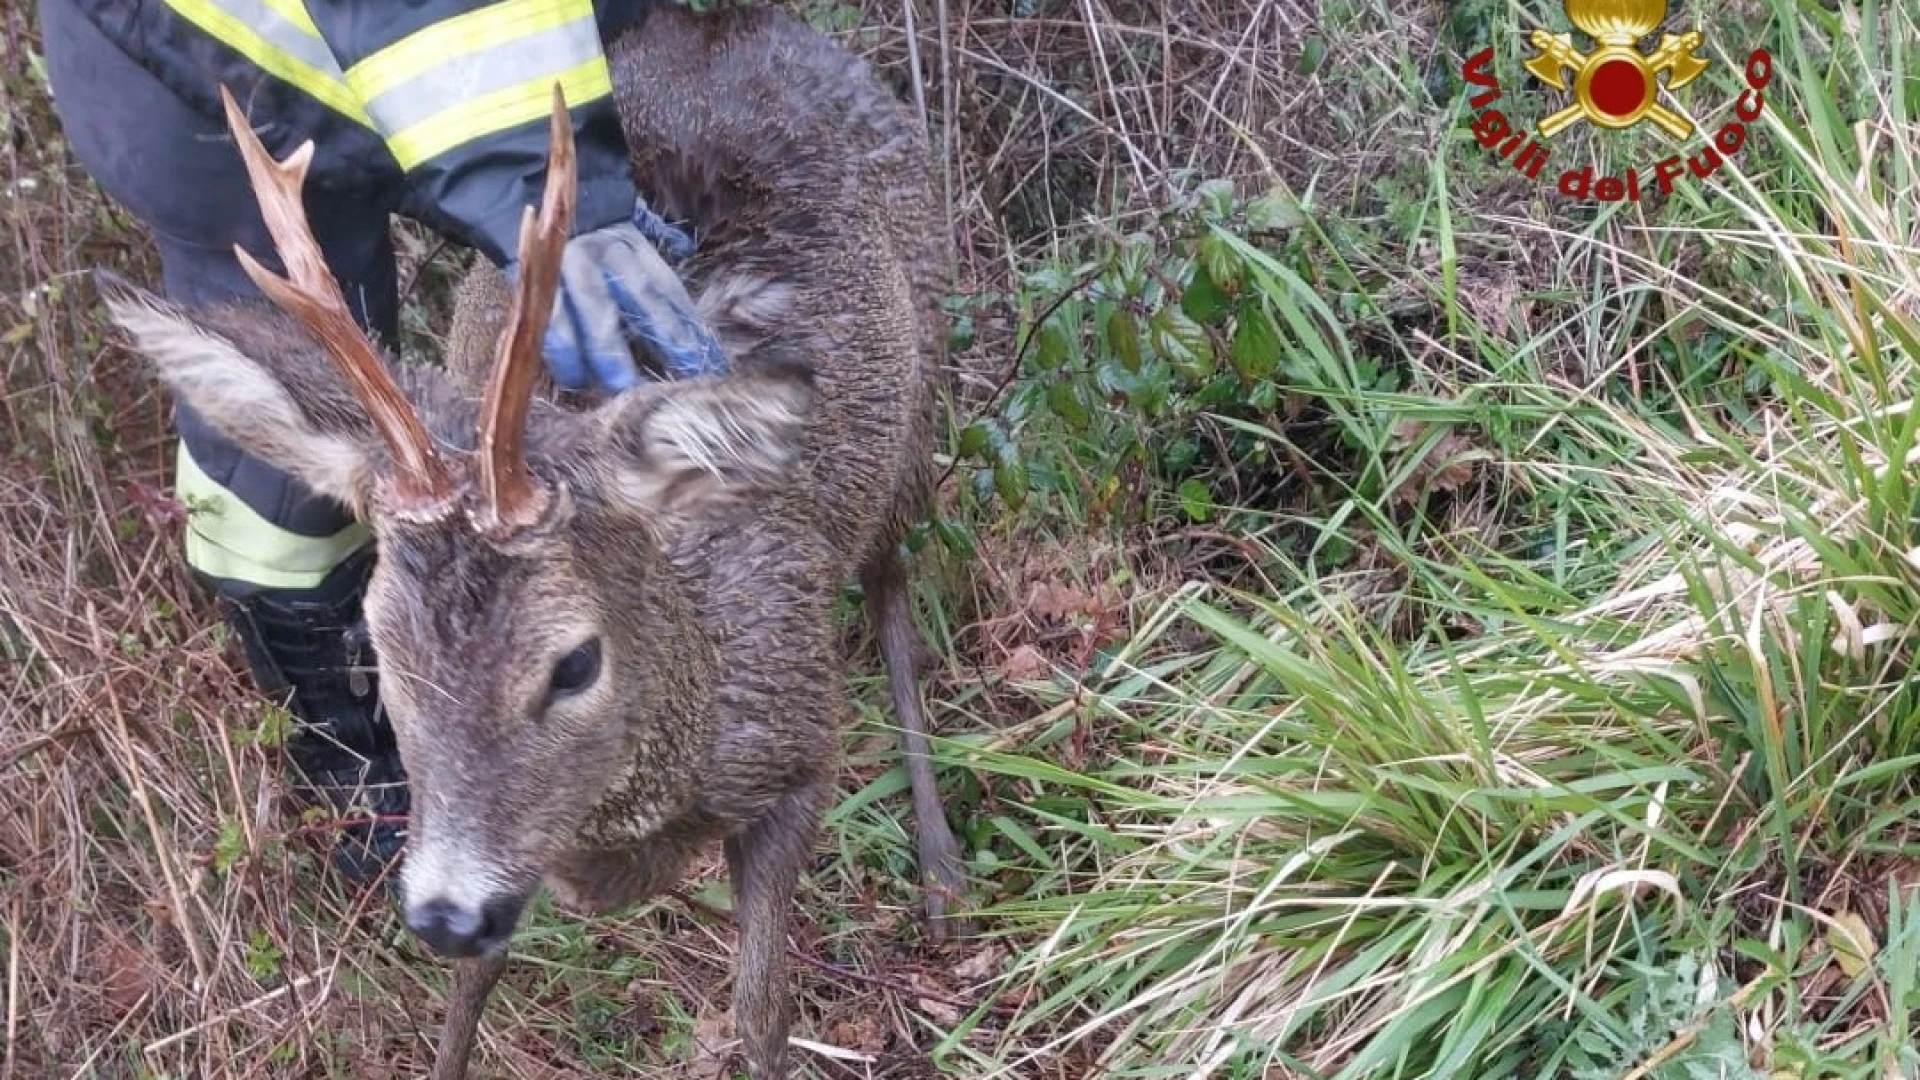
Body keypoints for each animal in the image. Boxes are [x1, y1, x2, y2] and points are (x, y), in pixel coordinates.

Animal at [93, 4, 960, 1068]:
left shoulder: (792, 744)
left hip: (918, 378)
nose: (443, 914)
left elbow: (763, 1017)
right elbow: (469, 995)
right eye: (379, 649)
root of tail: (720, 21)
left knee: (892, 586)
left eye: (575, 662)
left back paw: (942, 872)